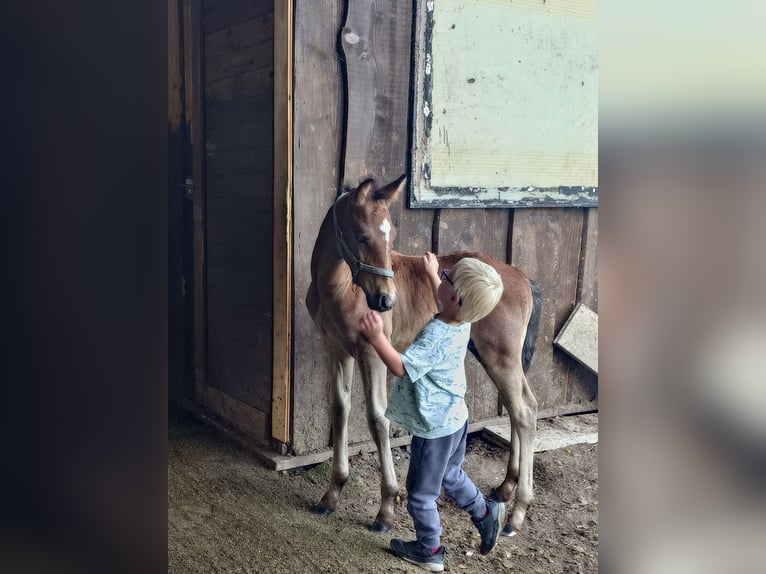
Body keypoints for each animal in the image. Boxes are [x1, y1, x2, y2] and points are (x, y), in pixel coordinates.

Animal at [306, 175, 542, 536]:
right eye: (362, 237)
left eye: (391, 238)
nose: (386, 301)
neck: (339, 288)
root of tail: (522, 278)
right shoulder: (336, 350)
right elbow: (340, 410)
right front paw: (331, 495)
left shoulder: (371, 353)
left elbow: (377, 418)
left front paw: (386, 509)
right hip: (492, 356)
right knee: (518, 408)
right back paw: (506, 489)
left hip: (501, 356)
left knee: (525, 411)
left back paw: (517, 513)